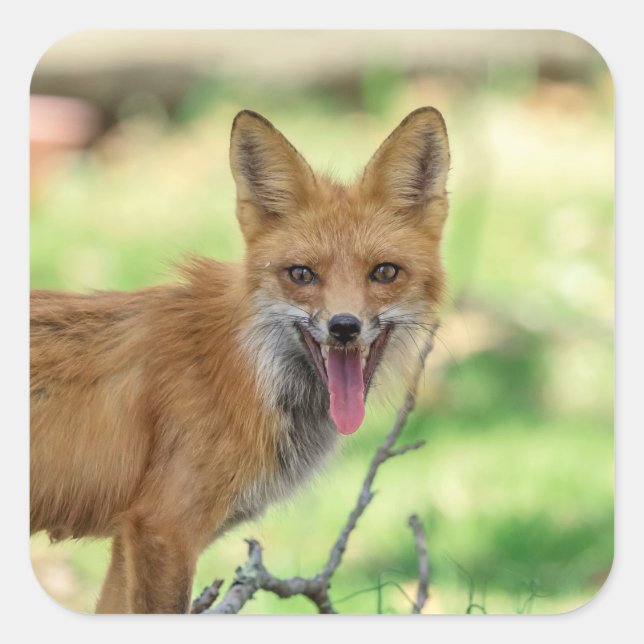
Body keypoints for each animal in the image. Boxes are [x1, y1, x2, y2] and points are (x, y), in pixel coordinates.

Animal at [30, 106, 450, 613]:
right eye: (302, 274)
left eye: (384, 272)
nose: (344, 327)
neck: (247, 372)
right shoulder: (162, 529)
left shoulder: (128, 538)